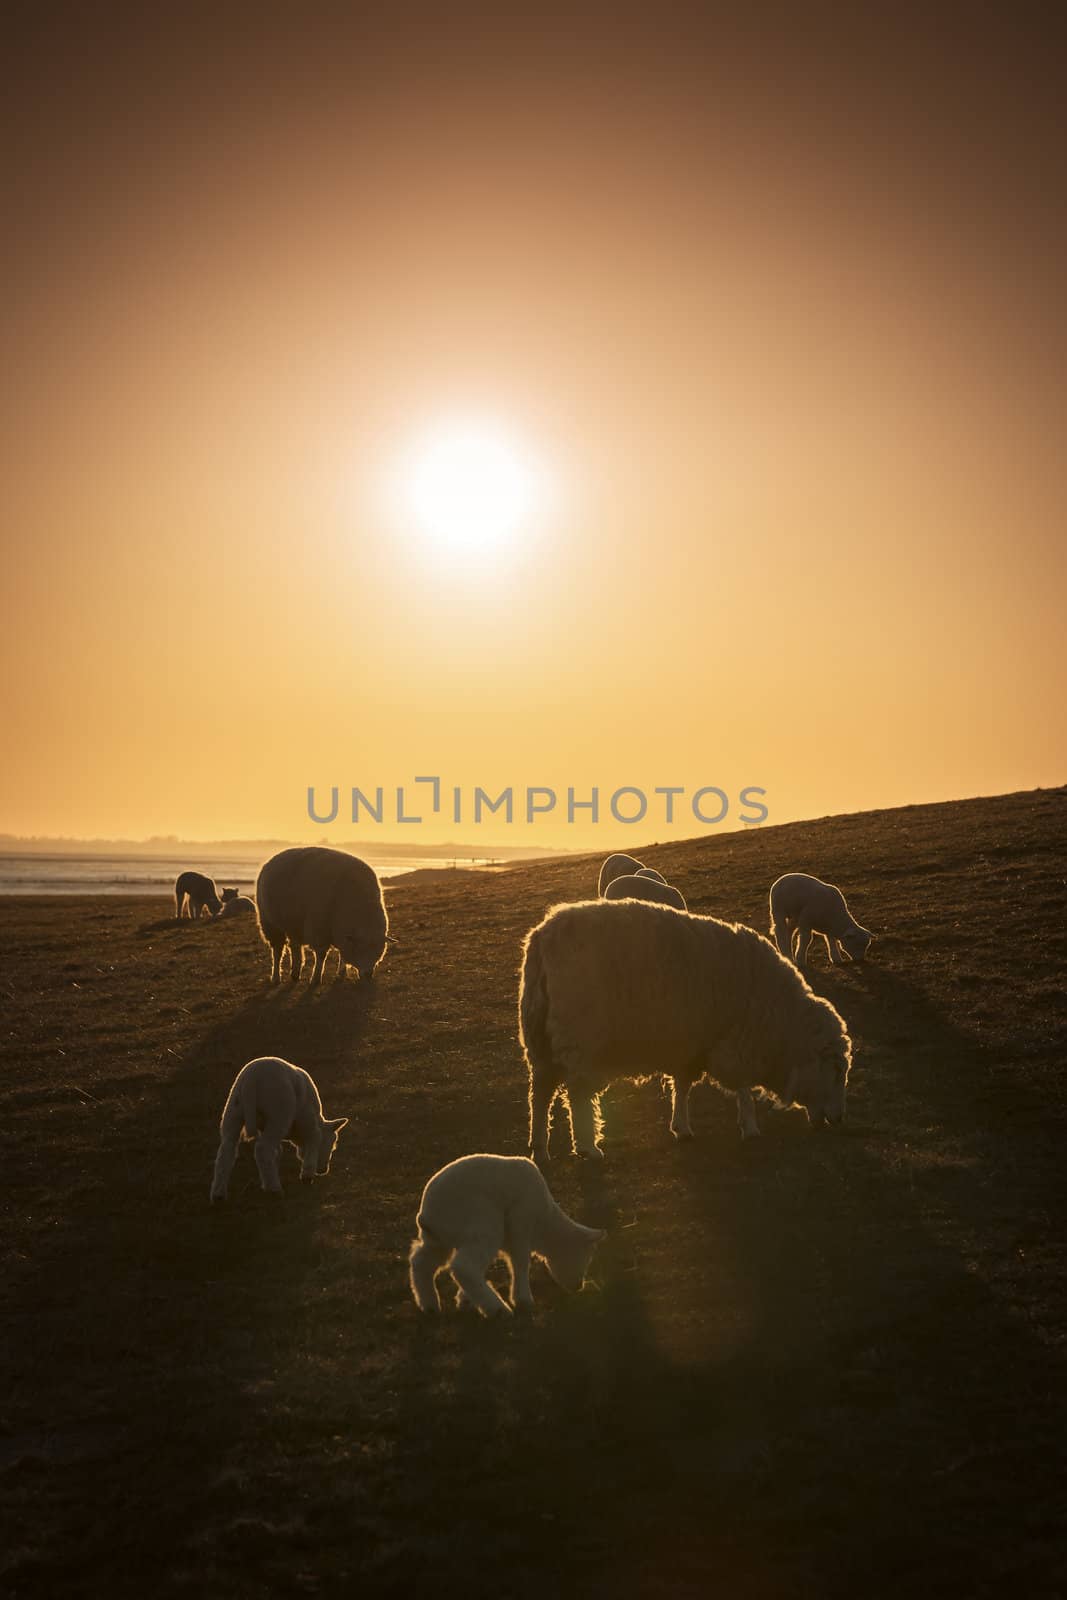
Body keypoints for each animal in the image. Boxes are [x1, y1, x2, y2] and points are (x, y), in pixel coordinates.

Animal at [211, 1049, 350, 1203]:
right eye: (333, 1144)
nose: (323, 1170)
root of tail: (251, 1080)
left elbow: (277, 1152)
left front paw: (268, 1178)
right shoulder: (309, 1124)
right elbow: (313, 1142)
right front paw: (307, 1175)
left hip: (233, 1111)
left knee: (226, 1151)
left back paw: (218, 1195)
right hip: (278, 1112)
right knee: (262, 1150)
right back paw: (274, 1190)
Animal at [255, 851, 390, 985]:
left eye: (379, 951)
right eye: (361, 949)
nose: (368, 975)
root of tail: (270, 862)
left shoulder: (342, 934)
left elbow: (342, 956)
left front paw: (340, 975)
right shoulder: (319, 930)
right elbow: (321, 955)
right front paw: (316, 978)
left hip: (294, 924)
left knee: (294, 947)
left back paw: (295, 973)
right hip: (270, 923)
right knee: (277, 951)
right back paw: (276, 977)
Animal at [412, 1158, 607, 1318]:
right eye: (585, 1258)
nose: (578, 1286)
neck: (545, 1224)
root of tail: (426, 1215)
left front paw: (464, 1299)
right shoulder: (521, 1222)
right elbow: (520, 1261)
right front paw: (523, 1300)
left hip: (438, 1239)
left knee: (421, 1262)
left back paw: (430, 1305)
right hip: (483, 1221)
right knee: (464, 1267)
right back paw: (498, 1309)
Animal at [521, 896, 857, 1158]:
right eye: (836, 1070)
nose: (841, 1119)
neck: (781, 1024)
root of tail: (541, 938)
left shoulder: (691, 1044)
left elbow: (681, 1087)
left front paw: (681, 1127)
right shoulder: (733, 1042)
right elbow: (743, 1088)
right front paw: (750, 1127)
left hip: (540, 1040)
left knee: (540, 1095)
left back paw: (539, 1146)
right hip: (581, 1041)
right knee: (577, 1096)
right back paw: (587, 1147)